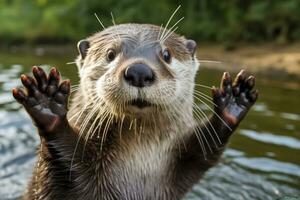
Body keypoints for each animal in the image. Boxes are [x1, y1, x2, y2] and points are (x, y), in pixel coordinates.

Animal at [12, 23, 258, 200]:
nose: (139, 71)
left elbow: (205, 150)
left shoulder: (182, 168)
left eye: (166, 55)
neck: (137, 166)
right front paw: (48, 104)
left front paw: (233, 101)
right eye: (110, 54)